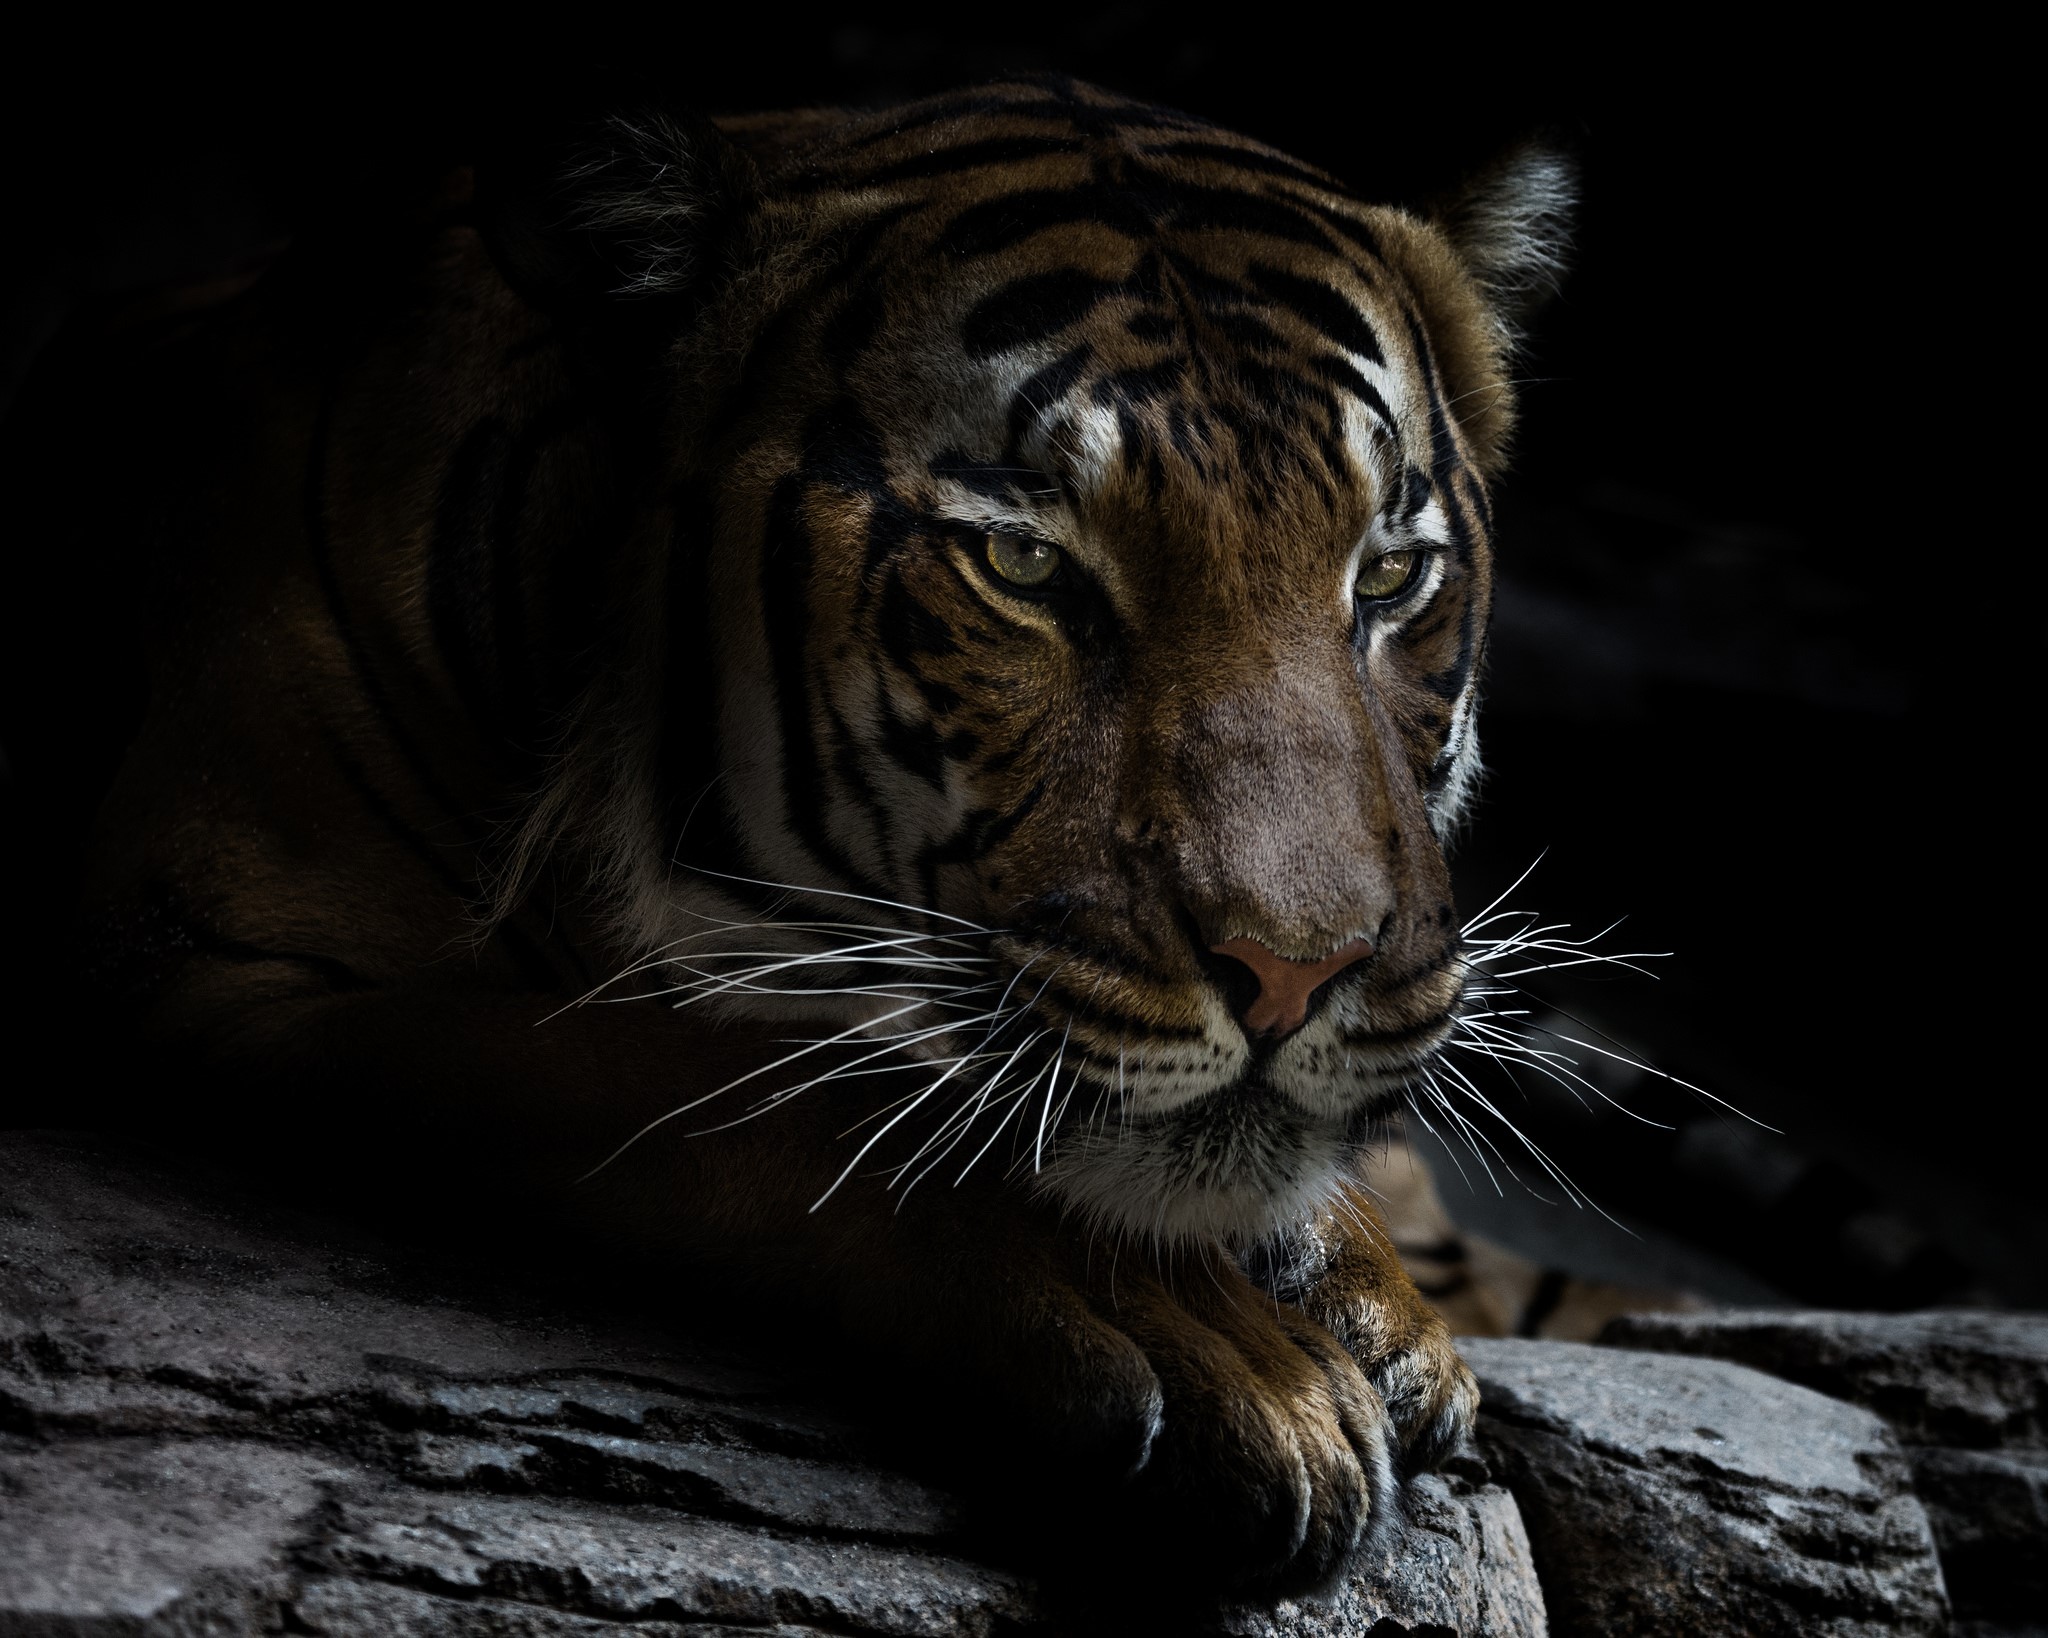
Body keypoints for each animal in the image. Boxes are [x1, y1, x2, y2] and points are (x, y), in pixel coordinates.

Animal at [80, 77, 1576, 1593]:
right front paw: (1220, 1349)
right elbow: (717, 1078)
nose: (1294, 975)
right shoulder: (211, 974)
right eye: (1024, 566)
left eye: (1388, 577)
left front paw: (1382, 1303)